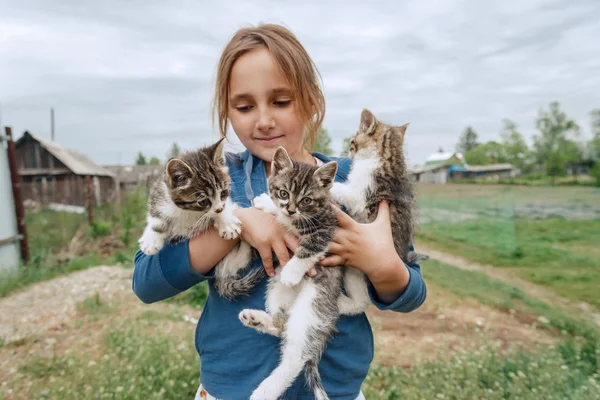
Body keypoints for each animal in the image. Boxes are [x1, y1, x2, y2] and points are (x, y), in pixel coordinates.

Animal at [139, 140, 264, 300]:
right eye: (203, 201)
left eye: (224, 192)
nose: (219, 209)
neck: (188, 211)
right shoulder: (159, 195)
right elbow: (156, 219)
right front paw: (151, 239)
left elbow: (225, 207)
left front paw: (226, 221)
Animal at [238, 147, 342, 400]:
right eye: (284, 192)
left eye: (306, 200)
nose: (291, 208)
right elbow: (279, 216)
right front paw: (267, 203)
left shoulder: (328, 229)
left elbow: (308, 249)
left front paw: (292, 272)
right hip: (275, 293)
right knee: (281, 325)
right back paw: (255, 318)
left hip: (311, 309)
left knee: (295, 357)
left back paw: (264, 391)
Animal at [328, 108, 432, 316]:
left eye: (352, 141)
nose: (349, 151)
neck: (389, 155)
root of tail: (402, 258)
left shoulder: (360, 194)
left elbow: (340, 189)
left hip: (356, 268)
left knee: (362, 301)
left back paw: (342, 303)